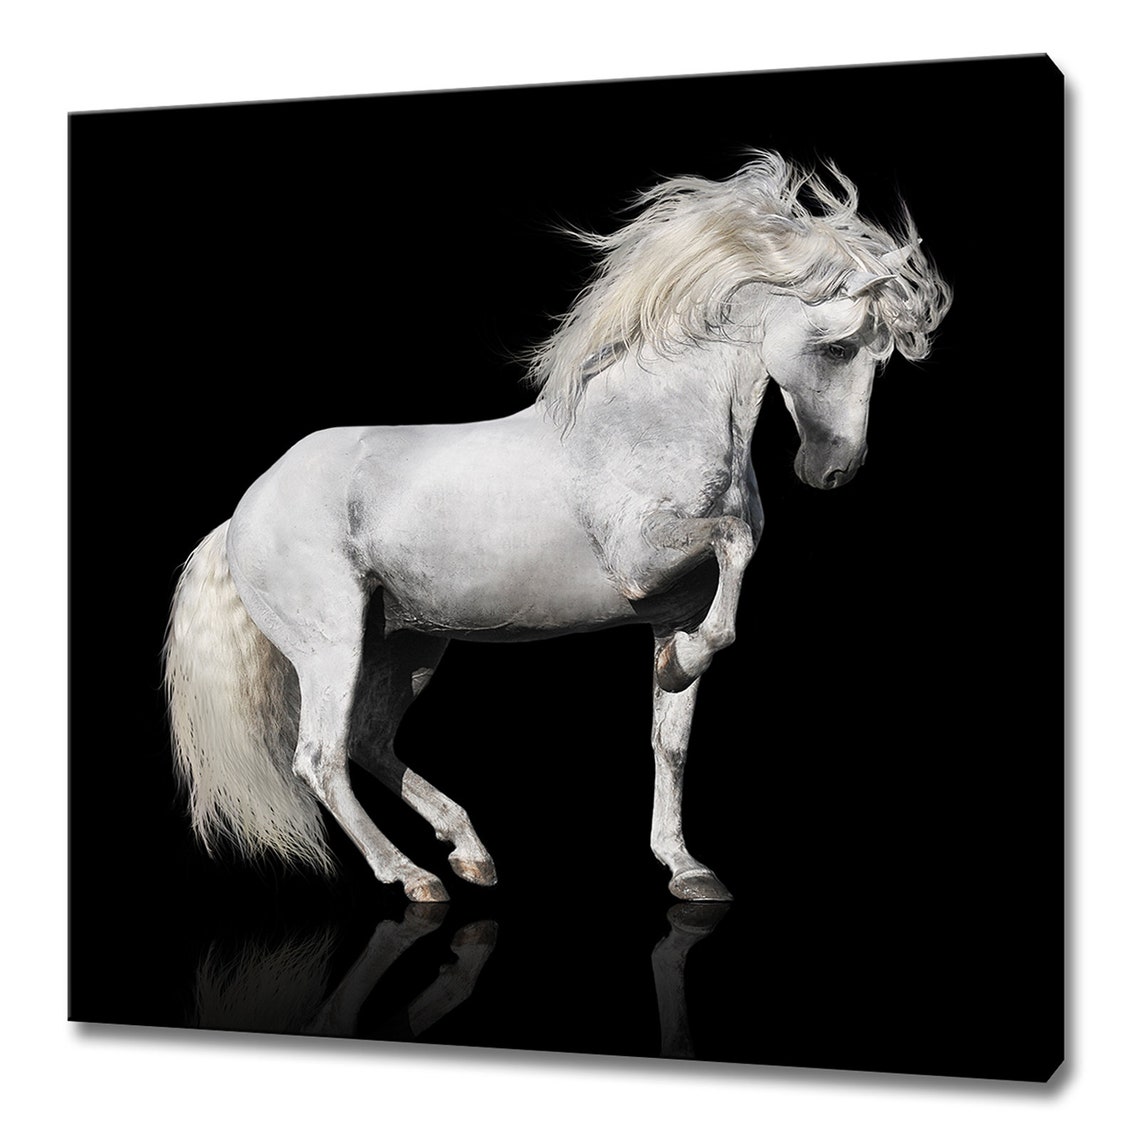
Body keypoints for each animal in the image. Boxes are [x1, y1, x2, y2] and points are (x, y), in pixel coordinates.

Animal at [163, 151, 951, 904]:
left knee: (368, 744)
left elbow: (671, 741)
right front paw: (683, 664)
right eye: (838, 347)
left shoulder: (676, 606)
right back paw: (414, 878)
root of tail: (243, 512)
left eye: (882, 357)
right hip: (332, 642)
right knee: (320, 758)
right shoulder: (642, 562)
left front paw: (686, 869)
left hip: (405, 642)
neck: (651, 420)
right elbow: (732, 548)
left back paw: (471, 853)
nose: (832, 471)